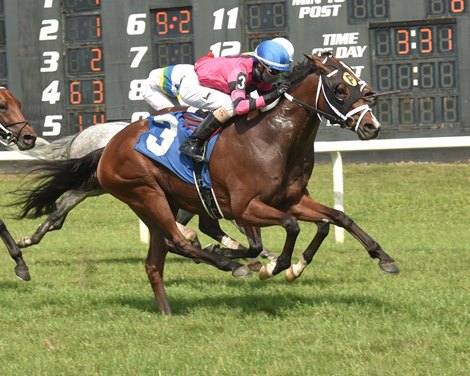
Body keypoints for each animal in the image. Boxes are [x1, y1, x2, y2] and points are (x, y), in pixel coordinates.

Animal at [14, 55, 398, 314]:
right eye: (339, 87)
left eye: (358, 81)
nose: (372, 126)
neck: (273, 138)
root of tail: (108, 146)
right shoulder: (247, 207)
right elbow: (289, 228)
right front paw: (275, 266)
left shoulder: (291, 199)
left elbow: (334, 218)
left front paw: (382, 258)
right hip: (145, 193)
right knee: (177, 241)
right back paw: (231, 265)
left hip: (161, 201)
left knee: (158, 257)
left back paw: (172, 306)